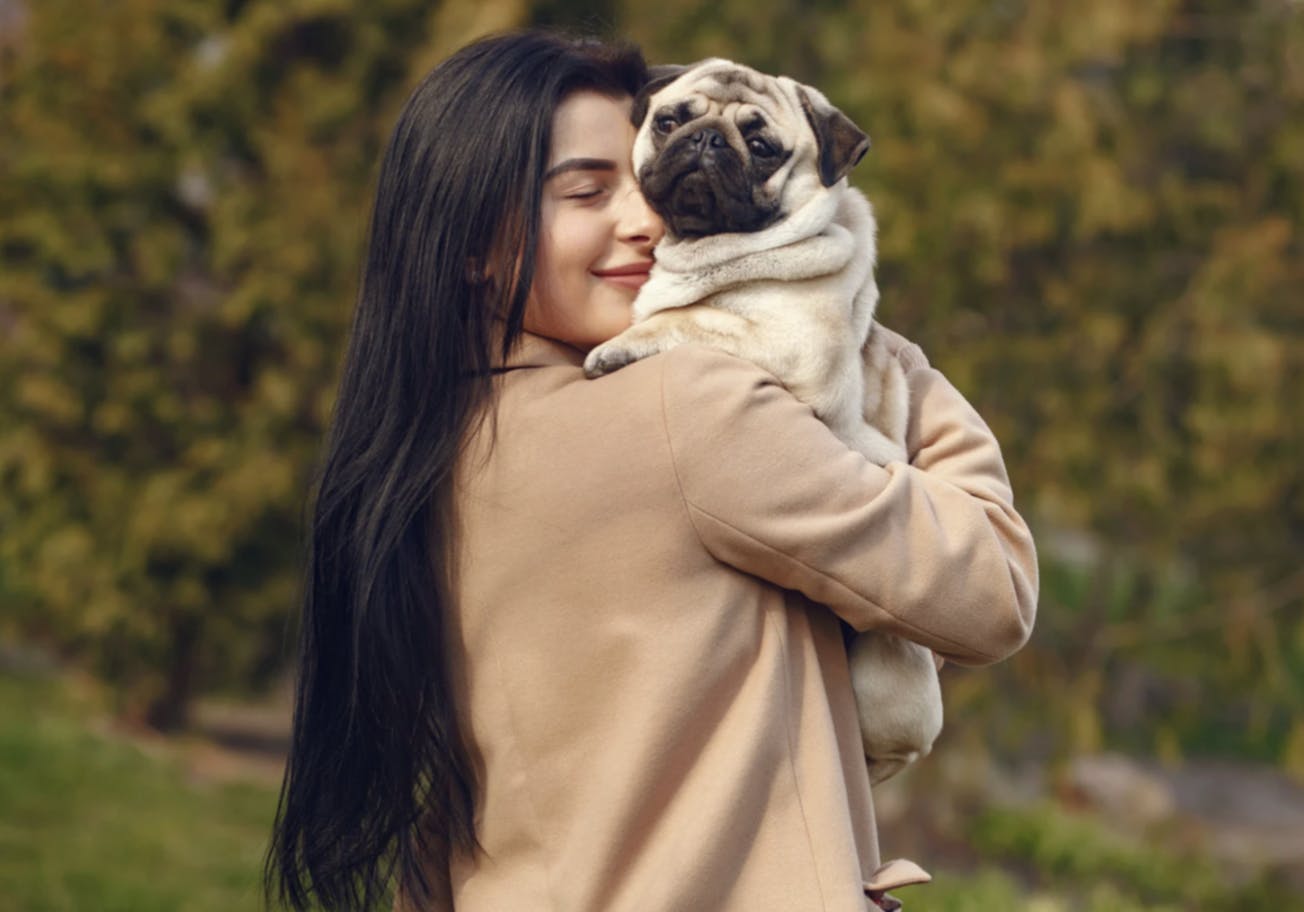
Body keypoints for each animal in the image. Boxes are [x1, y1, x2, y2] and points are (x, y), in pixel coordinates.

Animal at [586, 58, 944, 782]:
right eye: (670, 119)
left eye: (762, 146)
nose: (705, 141)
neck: (708, 252)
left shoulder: (794, 350)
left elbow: (689, 318)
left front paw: (618, 345)